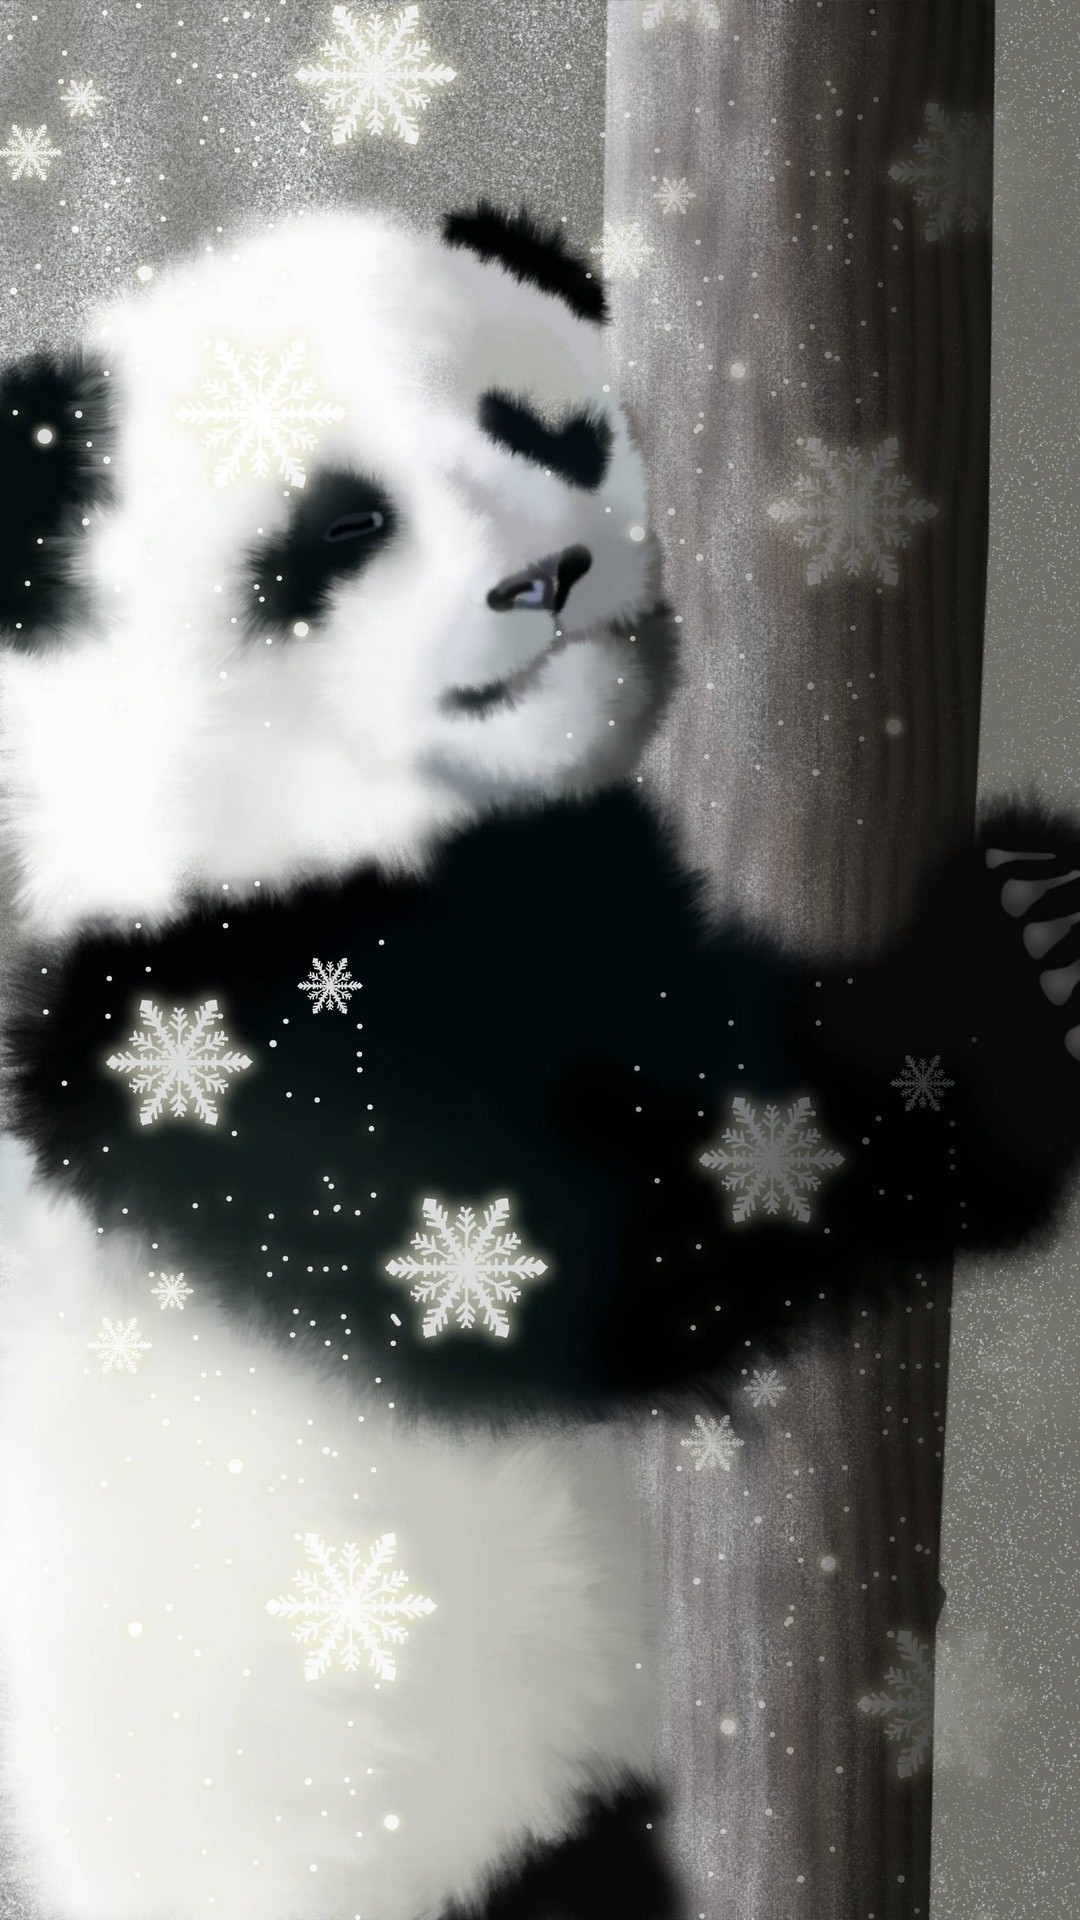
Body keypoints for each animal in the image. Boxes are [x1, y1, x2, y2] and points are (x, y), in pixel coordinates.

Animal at [0, 202, 1078, 1920]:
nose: (547, 575)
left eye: (540, 428)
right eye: (342, 526)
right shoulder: (219, 1035)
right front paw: (1010, 967)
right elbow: (594, 1252)